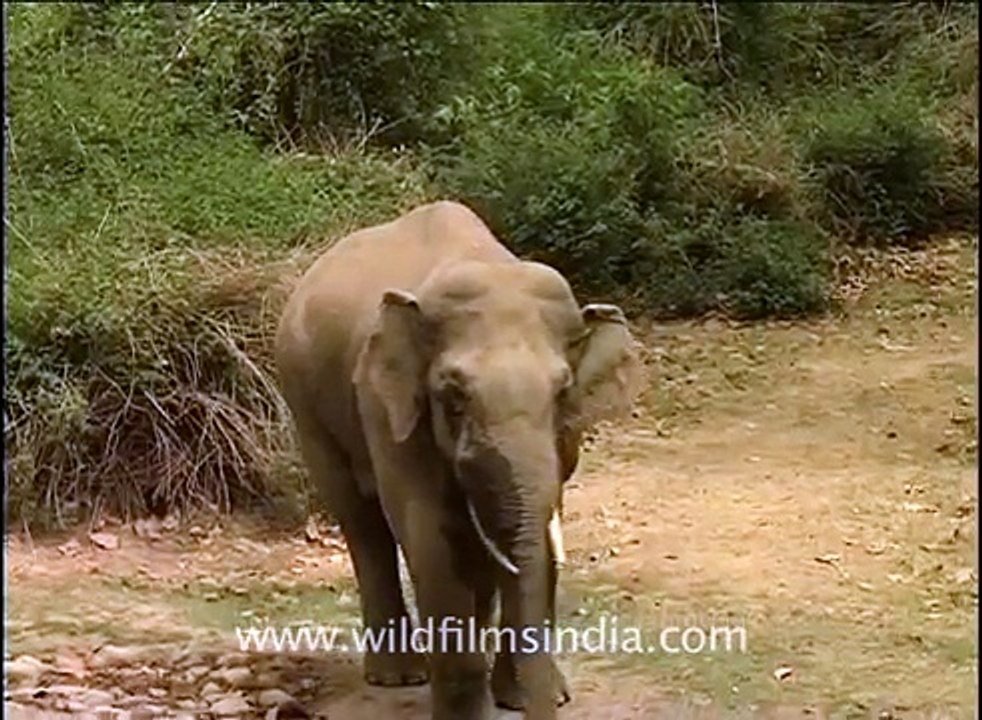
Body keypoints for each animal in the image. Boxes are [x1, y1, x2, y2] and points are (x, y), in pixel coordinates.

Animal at [274, 201, 643, 720]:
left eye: (563, 392)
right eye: (452, 397)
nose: (547, 704)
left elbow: (533, 534)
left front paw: (522, 697)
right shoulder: (386, 409)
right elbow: (429, 536)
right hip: (304, 402)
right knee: (363, 525)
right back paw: (397, 677)